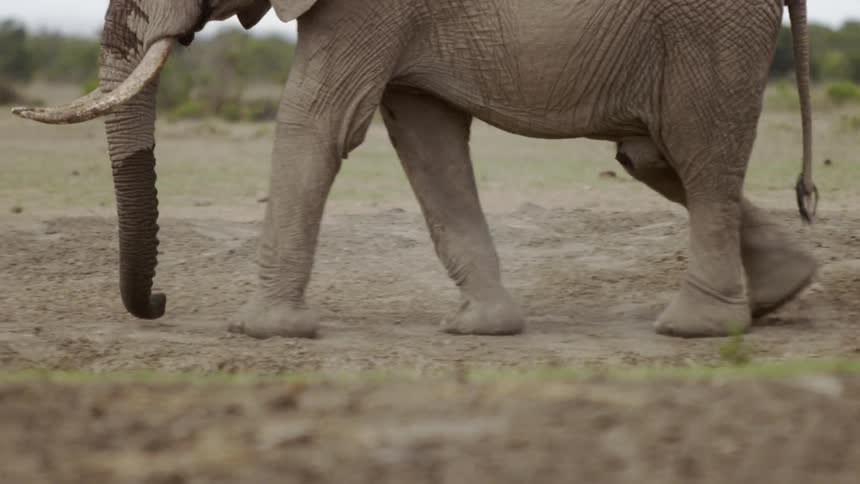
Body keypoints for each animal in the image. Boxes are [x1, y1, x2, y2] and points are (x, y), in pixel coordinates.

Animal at [13, 0, 818, 339]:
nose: (160, 302)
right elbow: (426, 141)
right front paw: (482, 329)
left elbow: (315, 120)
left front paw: (259, 331)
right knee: (653, 153)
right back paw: (778, 291)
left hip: (708, 27)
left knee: (697, 151)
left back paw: (695, 328)